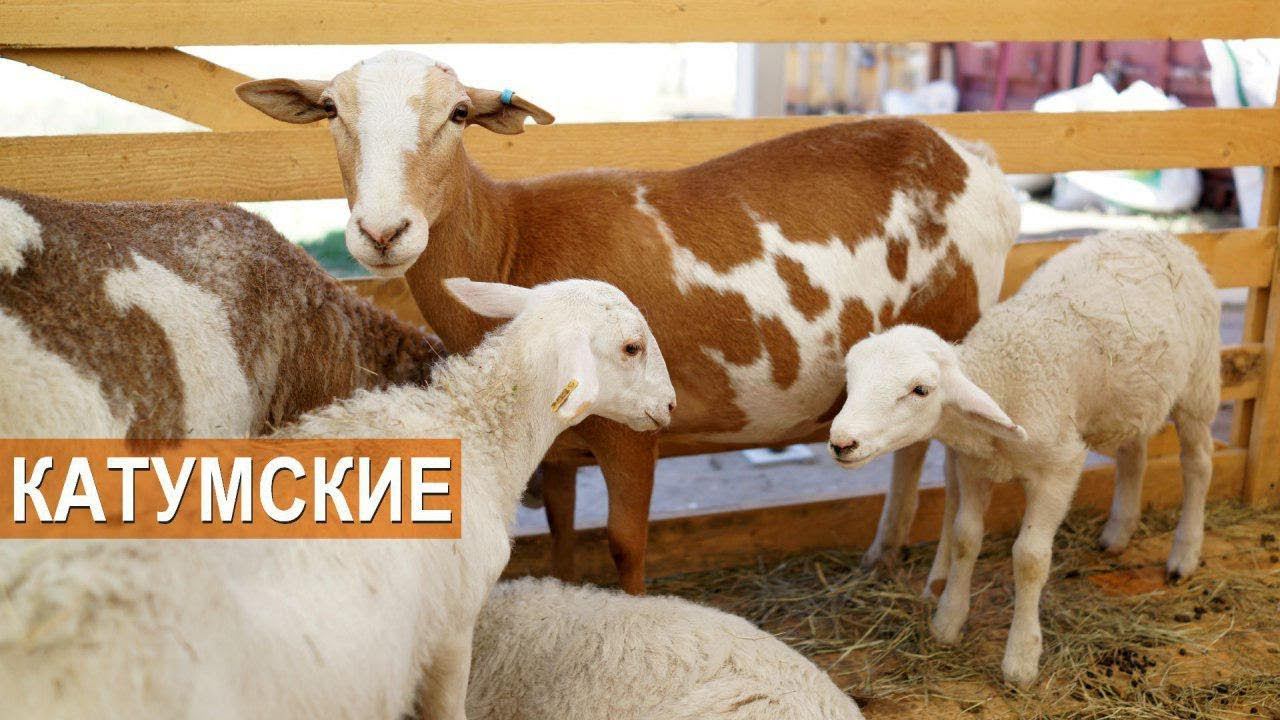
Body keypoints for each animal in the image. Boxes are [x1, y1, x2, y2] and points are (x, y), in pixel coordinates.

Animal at [827, 230, 1220, 687]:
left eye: (920, 390)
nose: (841, 442)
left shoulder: (1059, 469)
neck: (1004, 376)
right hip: (1128, 399)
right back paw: (1118, 532)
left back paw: (1184, 554)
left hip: (1198, 385)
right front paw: (948, 621)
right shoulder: (973, 467)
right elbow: (965, 537)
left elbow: (1030, 558)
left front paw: (1021, 657)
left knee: (1198, 464)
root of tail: (1157, 235)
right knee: (1133, 454)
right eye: (852, 379)